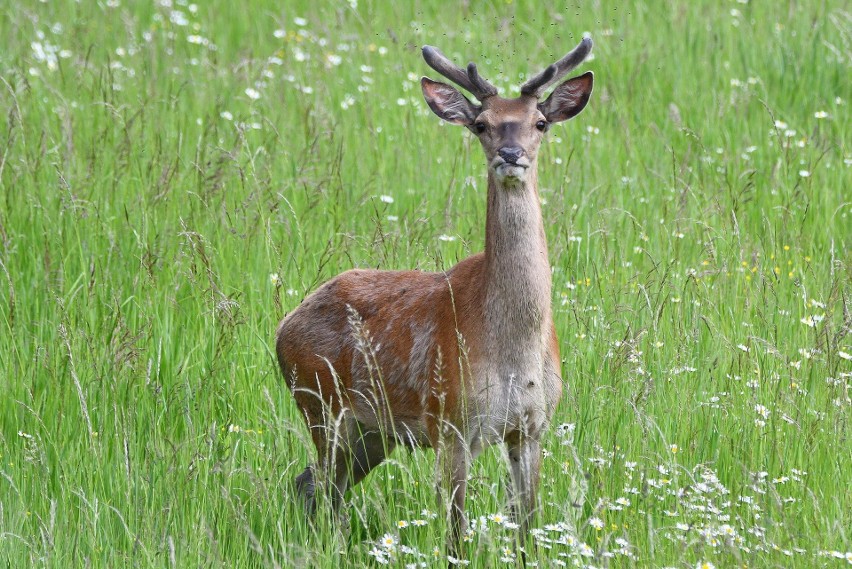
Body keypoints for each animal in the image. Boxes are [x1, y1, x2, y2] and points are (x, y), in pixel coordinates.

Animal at [276, 37, 596, 556]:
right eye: (482, 124)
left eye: (540, 122)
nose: (510, 153)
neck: (513, 348)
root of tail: (283, 326)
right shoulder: (451, 423)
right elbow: (455, 534)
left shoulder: (532, 427)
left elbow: (528, 528)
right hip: (320, 404)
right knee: (319, 487)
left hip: (371, 431)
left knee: (311, 485)